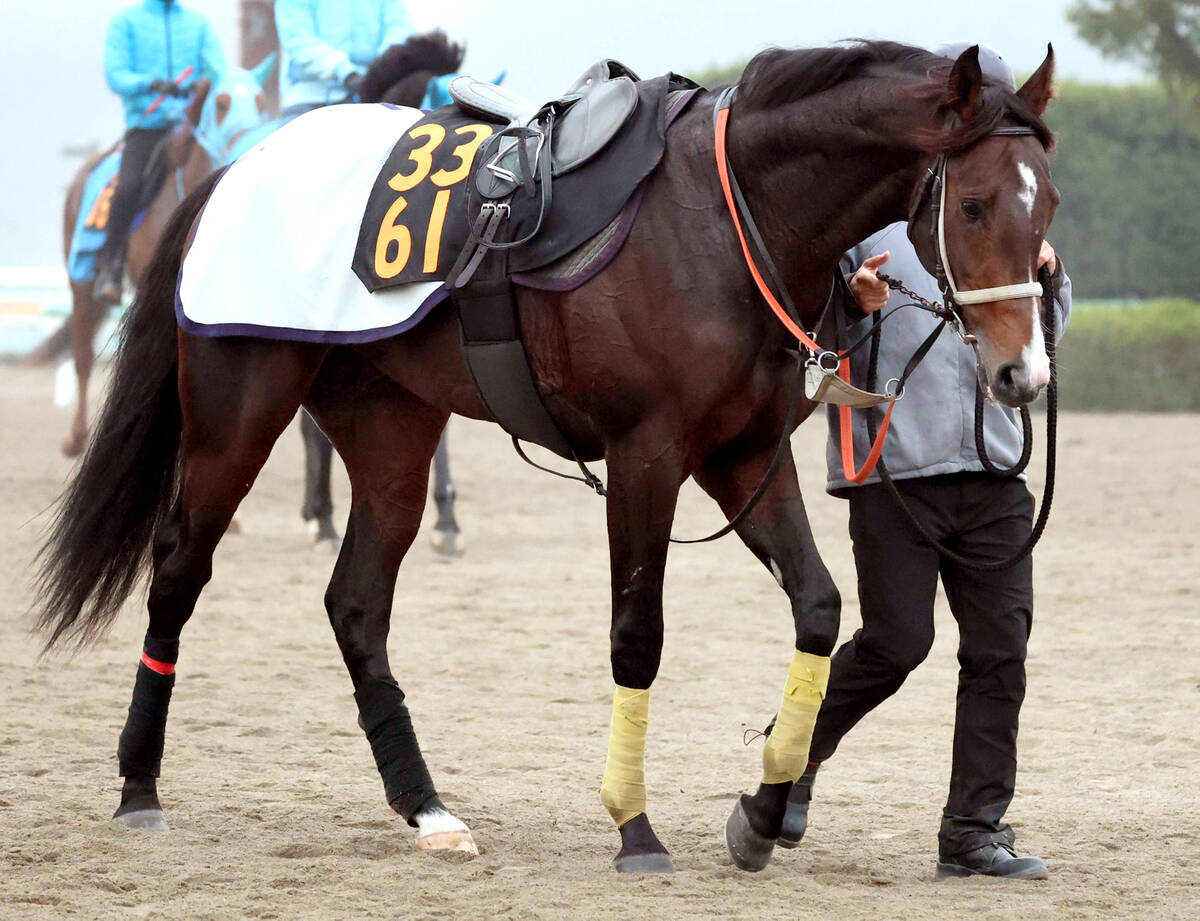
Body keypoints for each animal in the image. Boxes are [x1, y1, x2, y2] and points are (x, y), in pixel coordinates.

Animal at [36, 41, 1058, 873]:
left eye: (1047, 203)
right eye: (972, 205)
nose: (1023, 373)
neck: (722, 216)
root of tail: (235, 169)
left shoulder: (743, 455)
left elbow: (818, 606)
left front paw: (766, 809)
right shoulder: (646, 456)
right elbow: (637, 635)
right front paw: (635, 828)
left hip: (392, 428)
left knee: (356, 604)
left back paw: (427, 807)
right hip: (236, 410)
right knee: (179, 567)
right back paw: (139, 788)